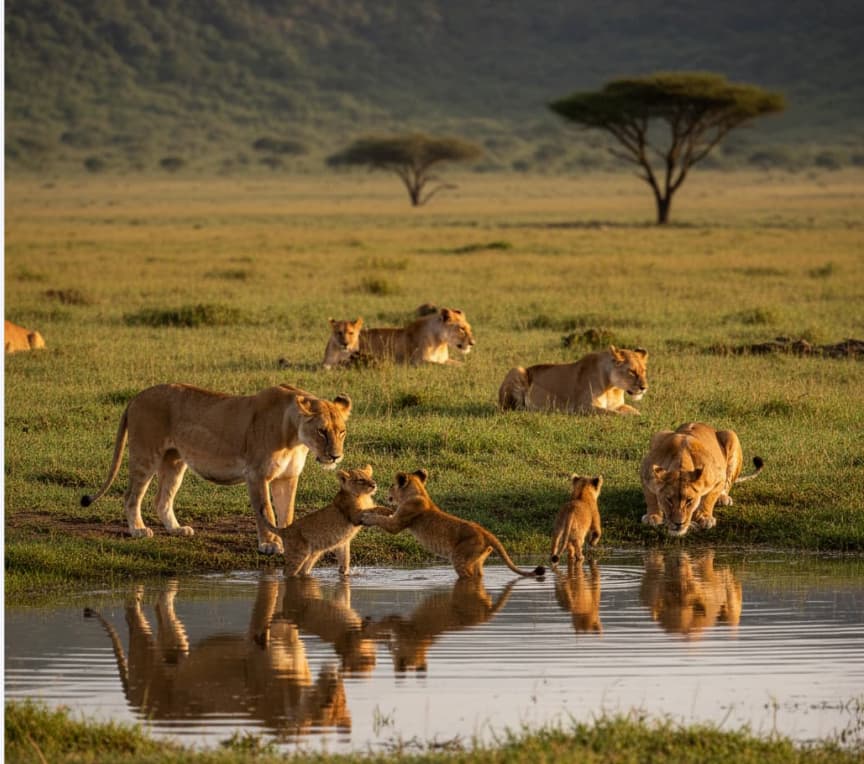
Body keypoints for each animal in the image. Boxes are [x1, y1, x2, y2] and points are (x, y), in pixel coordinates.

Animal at [81, 383, 351, 554]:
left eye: (341, 432)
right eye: (321, 431)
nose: (335, 456)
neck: (294, 437)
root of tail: (136, 397)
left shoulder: (287, 478)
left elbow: (287, 513)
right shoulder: (257, 475)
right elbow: (266, 512)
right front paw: (269, 545)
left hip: (174, 461)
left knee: (161, 499)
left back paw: (177, 530)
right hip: (146, 454)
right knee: (131, 495)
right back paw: (138, 530)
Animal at [258, 465, 392, 576]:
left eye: (370, 477)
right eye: (361, 480)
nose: (374, 485)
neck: (364, 497)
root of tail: (285, 530)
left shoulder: (342, 544)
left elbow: (345, 560)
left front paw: (344, 573)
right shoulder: (354, 515)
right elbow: (373, 509)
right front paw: (388, 511)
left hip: (312, 555)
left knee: (302, 571)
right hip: (298, 553)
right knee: (287, 571)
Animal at [360, 469, 545, 579]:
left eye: (392, 485)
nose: (387, 493)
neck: (418, 492)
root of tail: (486, 533)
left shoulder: (397, 524)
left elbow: (382, 520)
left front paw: (366, 517)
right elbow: (384, 514)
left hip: (460, 557)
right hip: (477, 560)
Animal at [498, 346, 648, 414]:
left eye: (644, 371)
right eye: (631, 371)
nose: (644, 388)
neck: (612, 388)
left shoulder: (618, 405)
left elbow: (634, 411)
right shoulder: (584, 407)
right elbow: (613, 414)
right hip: (517, 369)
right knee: (511, 407)